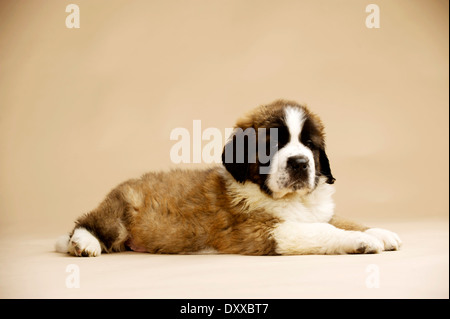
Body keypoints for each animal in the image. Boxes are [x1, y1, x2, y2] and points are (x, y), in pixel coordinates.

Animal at [55, 100, 400, 258]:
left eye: (310, 145)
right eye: (273, 145)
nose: (300, 163)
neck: (291, 200)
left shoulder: (317, 211)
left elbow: (339, 220)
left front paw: (379, 232)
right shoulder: (260, 230)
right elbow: (321, 230)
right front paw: (362, 241)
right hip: (123, 208)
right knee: (87, 224)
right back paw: (83, 243)